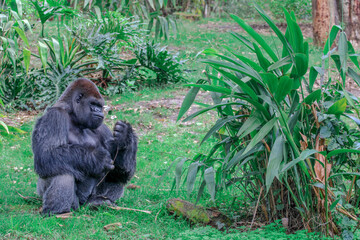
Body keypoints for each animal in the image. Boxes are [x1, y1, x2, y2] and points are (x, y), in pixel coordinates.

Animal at [31, 79, 138, 216]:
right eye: (93, 104)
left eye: (100, 106)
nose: (99, 111)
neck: (73, 115)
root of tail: (83, 205)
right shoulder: (54, 116)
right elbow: (46, 154)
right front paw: (97, 158)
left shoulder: (102, 127)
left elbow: (121, 169)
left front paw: (125, 136)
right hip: (57, 198)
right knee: (62, 170)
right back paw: (59, 212)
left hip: (89, 199)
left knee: (118, 176)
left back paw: (99, 202)